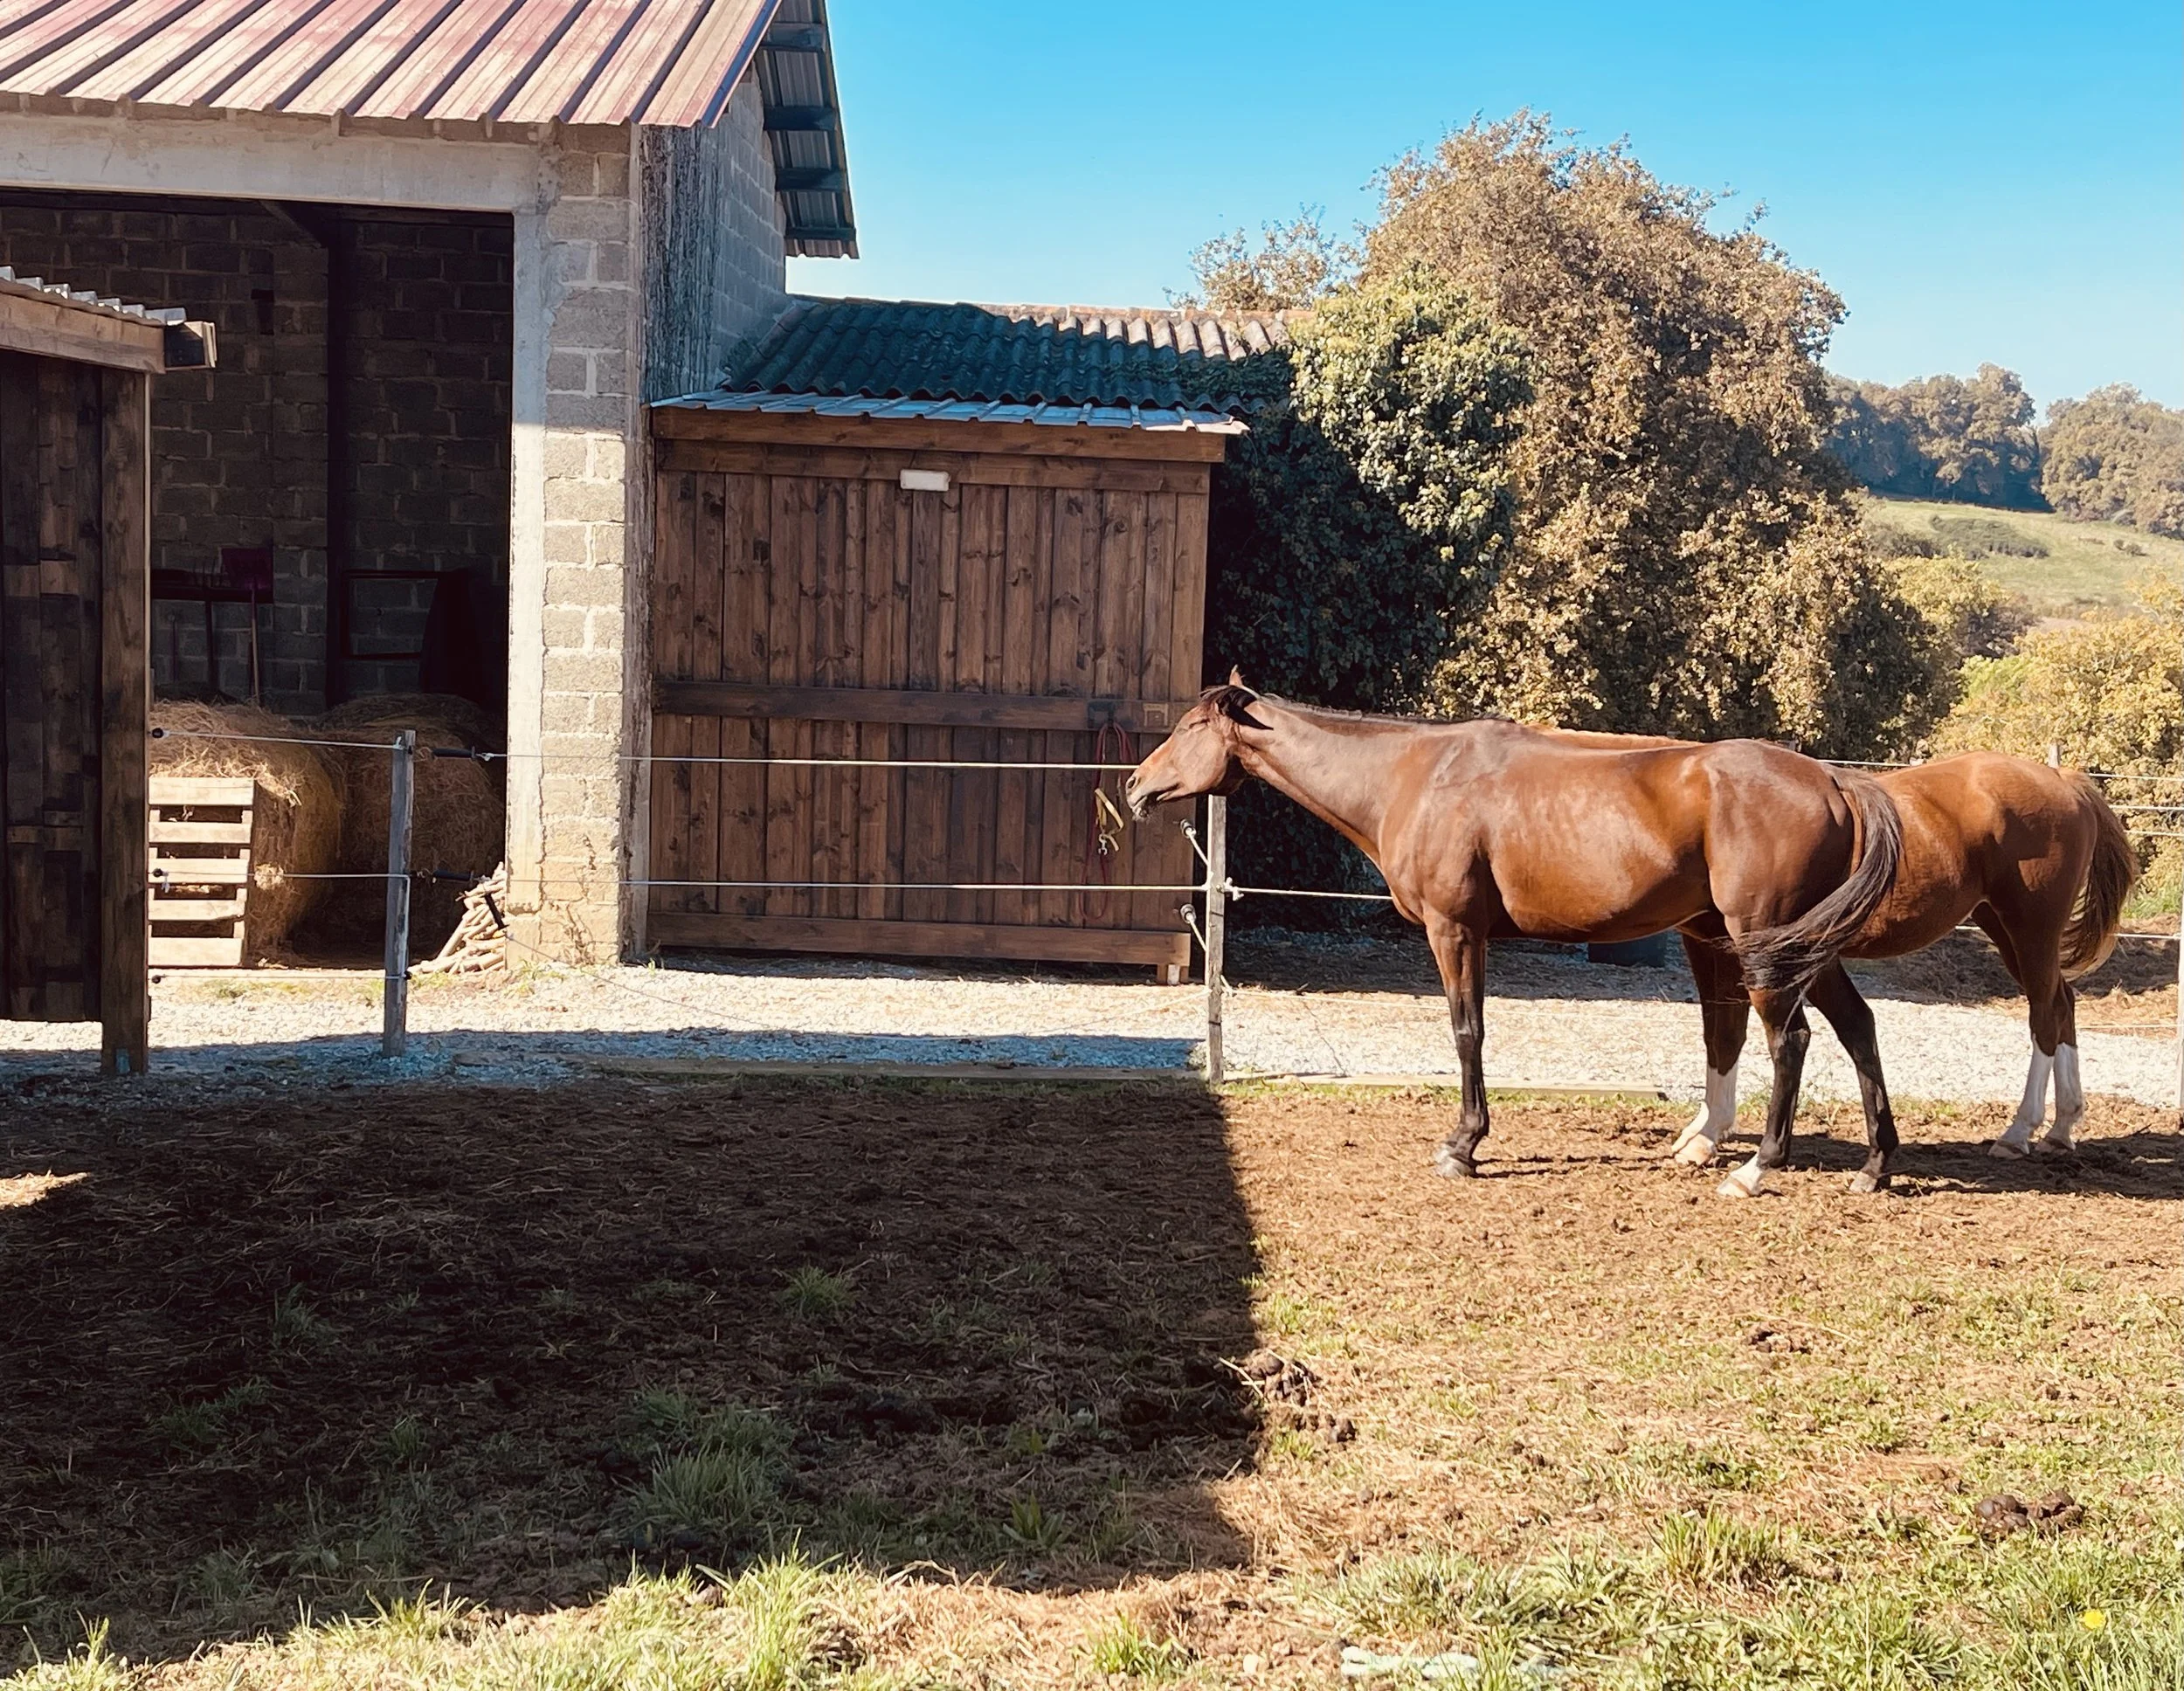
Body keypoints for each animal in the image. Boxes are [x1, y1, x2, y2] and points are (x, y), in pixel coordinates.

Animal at [1125, 680, 1906, 1196]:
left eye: (1190, 728)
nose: (1134, 786)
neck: (1412, 776)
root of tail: (1836, 783)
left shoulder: (1456, 931)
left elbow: (1467, 1031)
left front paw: (1463, 1145)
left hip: (1766, 942)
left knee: (1791, 1039)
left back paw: (1757, 1167)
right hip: (1796, 945)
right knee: (1854, 1026)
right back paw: (1873, 1165)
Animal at [1666, 750, 2137, 1169]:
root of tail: (2062, 781)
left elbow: (1727, 1034)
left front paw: (1708, 1136)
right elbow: (1719, 1034)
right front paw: (1702, 1132)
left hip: (2031, 929)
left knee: (2044, 1015)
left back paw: (2019, 1132)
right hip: (2004, 929)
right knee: (2062, 1003)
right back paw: (2061, 1127)